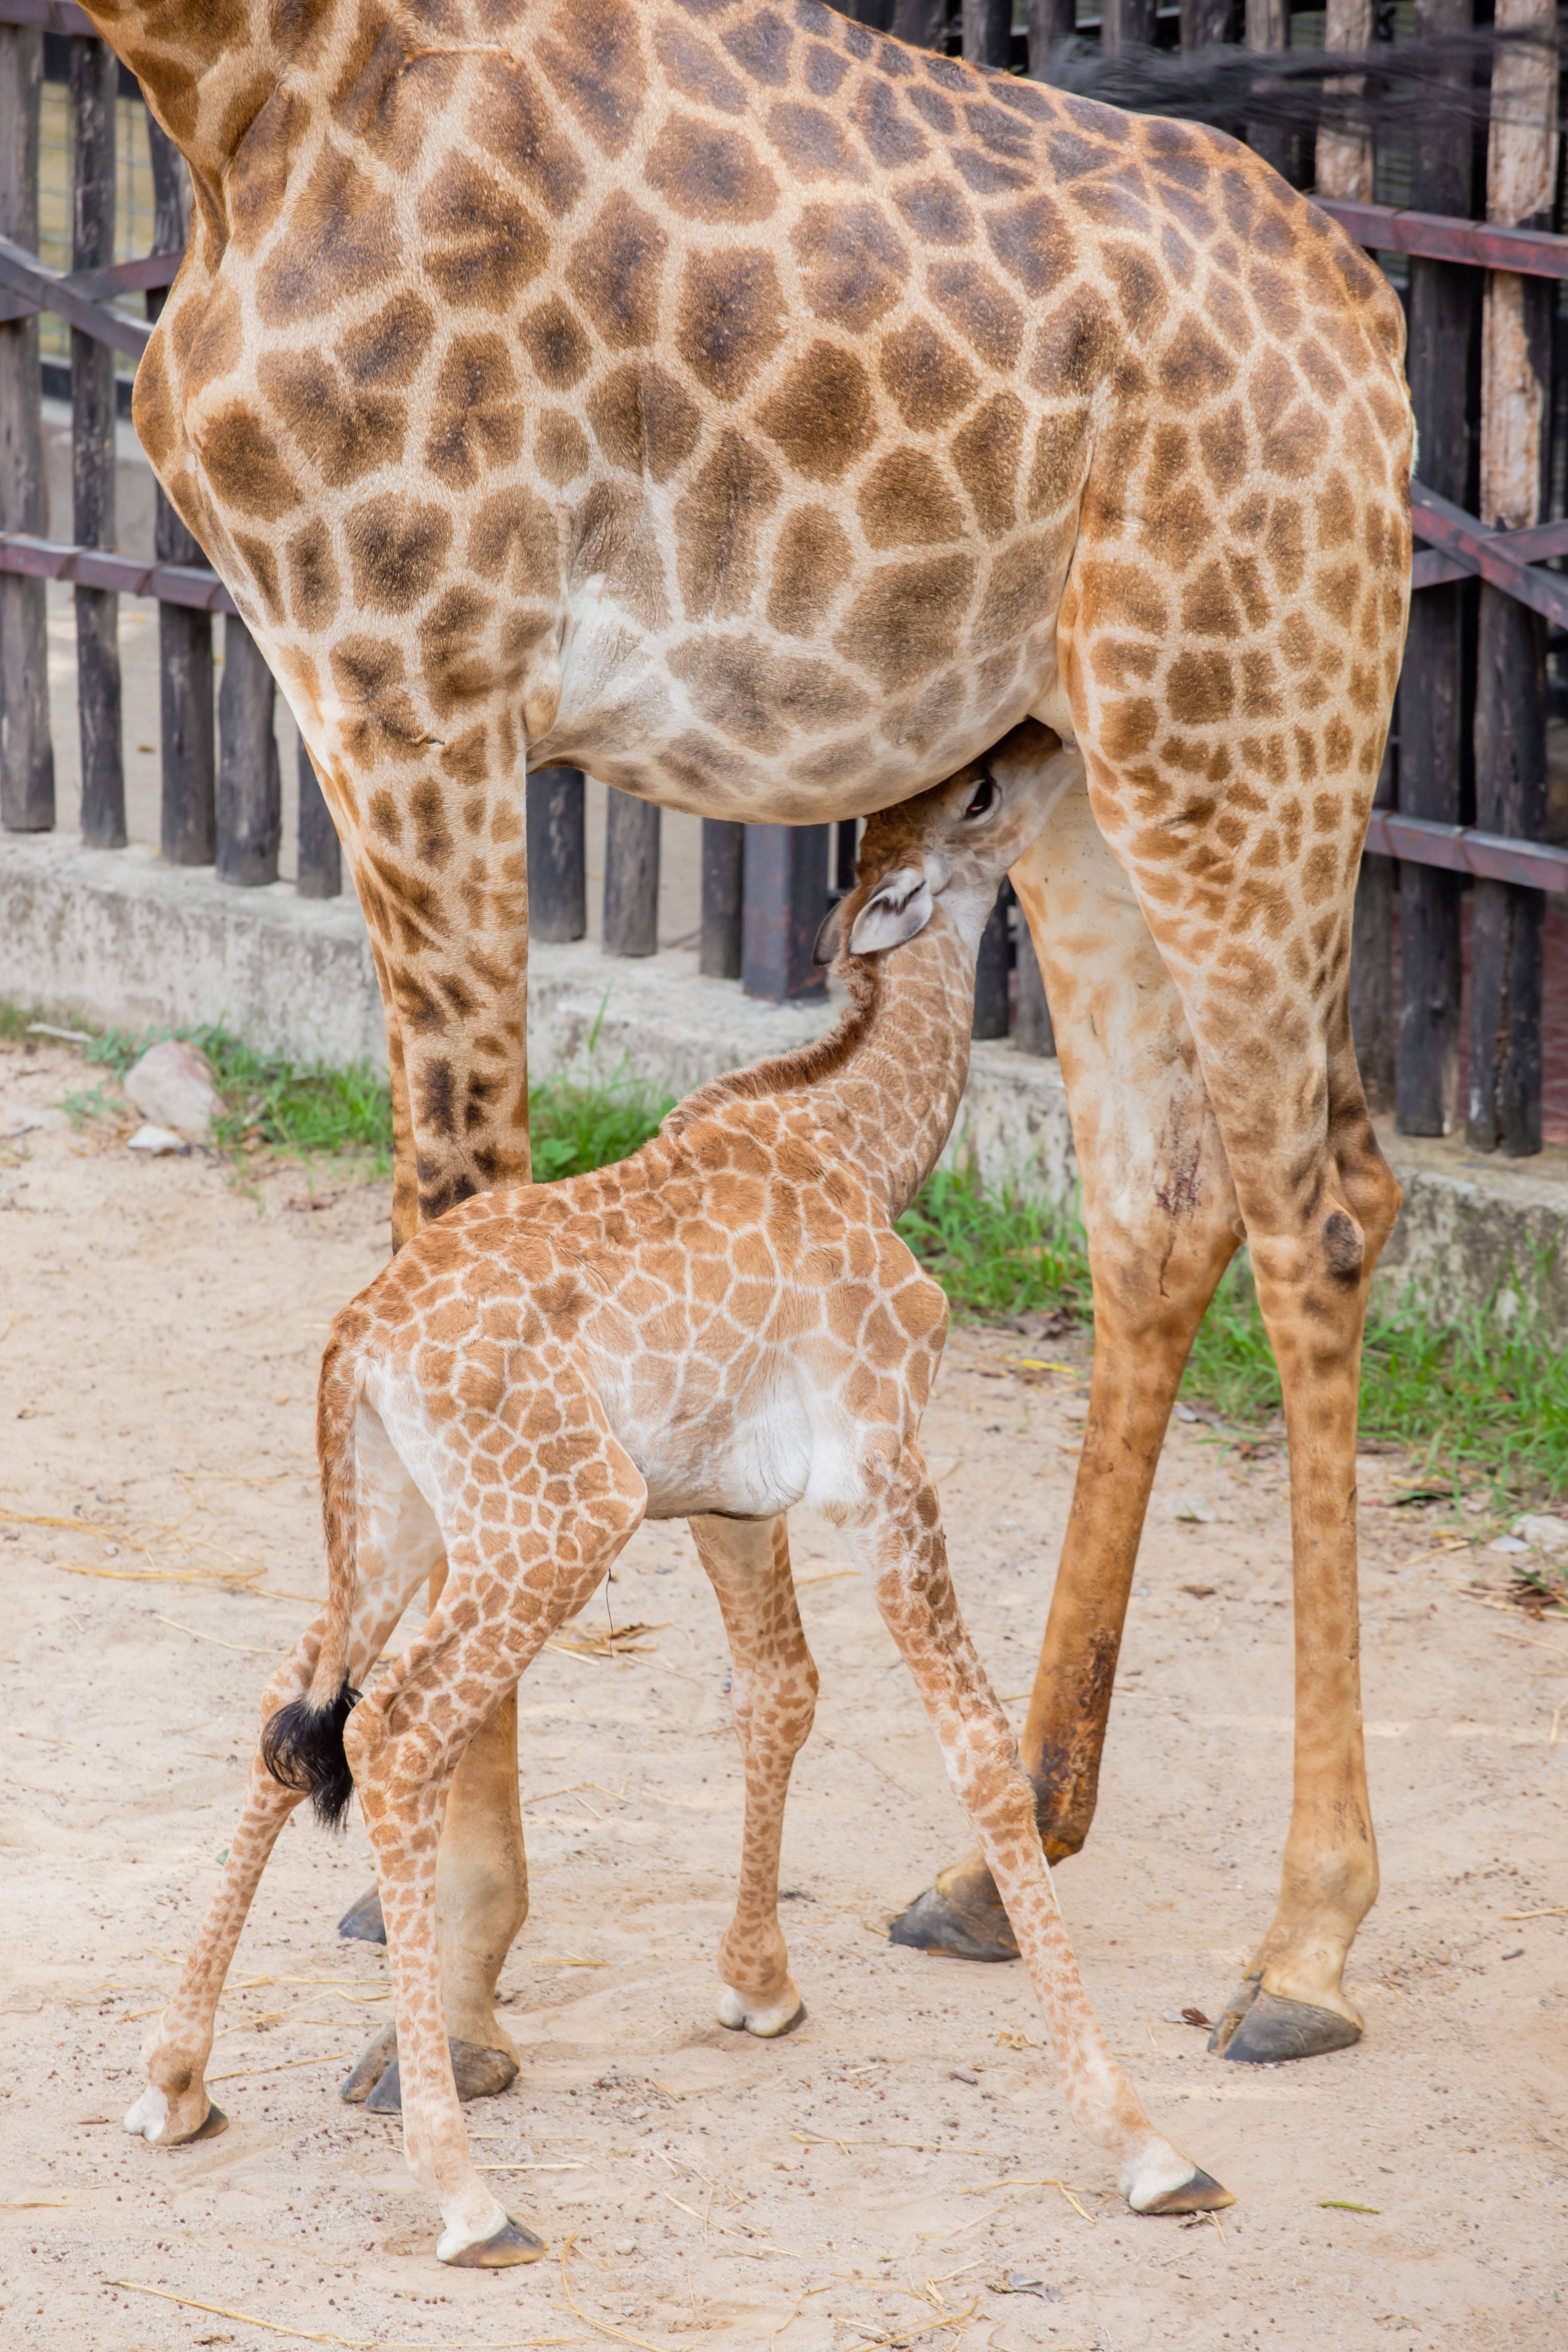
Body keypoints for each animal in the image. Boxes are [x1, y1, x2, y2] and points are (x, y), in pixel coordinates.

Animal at [83, 0, 1410, 2098]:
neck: (230, 84)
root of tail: (1372, 329)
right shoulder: (344, 678)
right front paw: (415, 1906)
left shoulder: (427, 673)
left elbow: (457, 1197)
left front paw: (461, 1967)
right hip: (1095, 763)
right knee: (1159, 1202)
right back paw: (997, 1854)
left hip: (1243, 730)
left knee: (1321, 1213)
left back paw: (1301, 1937)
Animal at [122, 715, 1231, 2258]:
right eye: (976, 795)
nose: (1044, 737)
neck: (863, 1139)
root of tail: (354, 1347)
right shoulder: (884, 1463)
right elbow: (978, 1760)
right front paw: (1142, 2142)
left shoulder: (729, 1501)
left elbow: (780, 1691)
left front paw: (758, 1985)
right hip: (556, 1520)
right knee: (395, 1736)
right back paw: (464, 2189)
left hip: (400, 1523)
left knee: (293, 1721)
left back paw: (175, 2081)